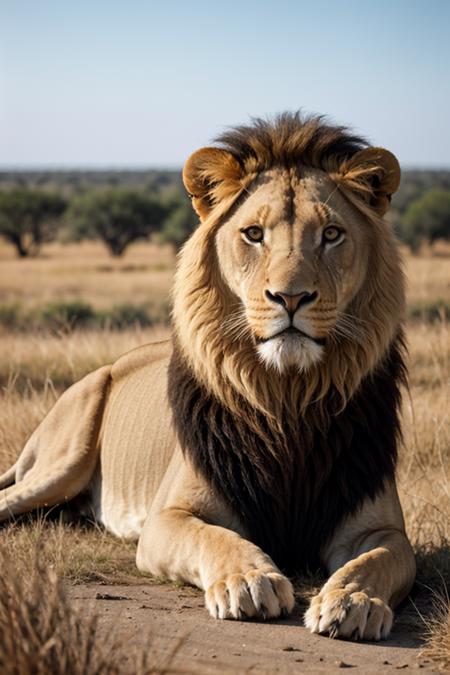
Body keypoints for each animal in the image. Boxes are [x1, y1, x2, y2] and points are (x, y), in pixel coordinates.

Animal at [0, 113, 414, 640]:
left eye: (332, 234)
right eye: (254, 233)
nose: (291, 297)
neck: (288, 398)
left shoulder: (382, 527)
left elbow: (376, 559)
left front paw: (354, 600)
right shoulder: (166, 518)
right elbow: (214, 538)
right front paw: (249, 579)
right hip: (60, 461)